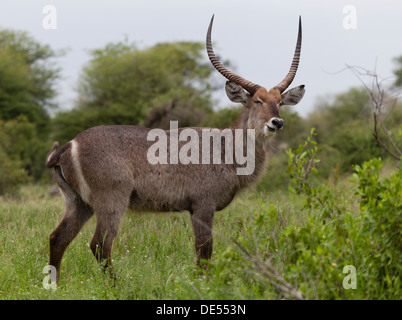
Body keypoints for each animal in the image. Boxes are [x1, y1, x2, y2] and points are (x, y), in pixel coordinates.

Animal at [46, 15, 304, 280]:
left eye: (280, 102)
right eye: (257, 101)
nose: (277, 122)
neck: (226, 150)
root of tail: (68, 145)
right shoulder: (202, 205)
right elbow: (204, 252)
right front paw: (205, 284)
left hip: (78, 202)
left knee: (58, 238)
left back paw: (56, 285)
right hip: (111, 199)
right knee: (99, 244)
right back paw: (117, 285)